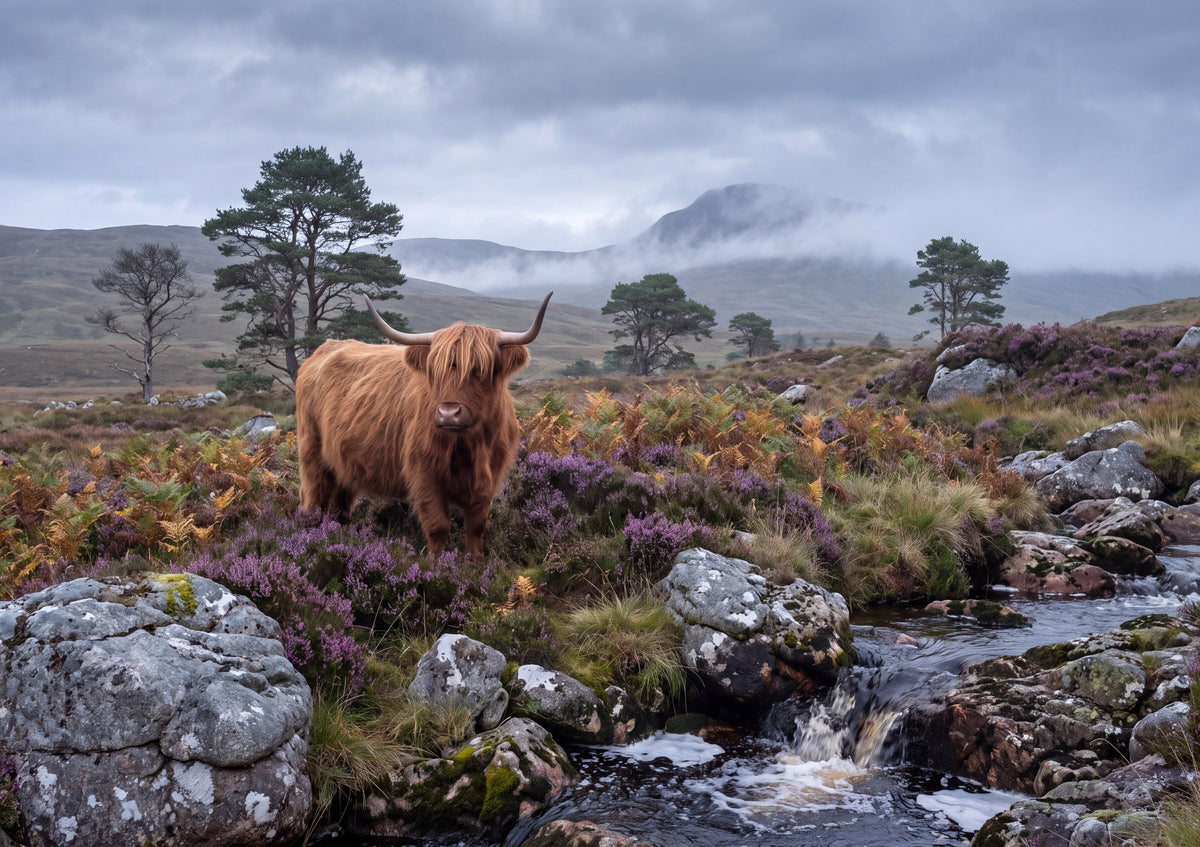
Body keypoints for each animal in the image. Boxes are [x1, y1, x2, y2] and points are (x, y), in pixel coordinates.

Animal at [295, 292, 552, 559]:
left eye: (479, 370)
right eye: (434, 371)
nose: (448, 414)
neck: (470, 445)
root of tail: (324, 348)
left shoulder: (488, 476)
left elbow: (477, 525)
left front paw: (476, 562)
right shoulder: (424, 473)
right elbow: (438, 525)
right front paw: (438, 564)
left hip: (344, 464)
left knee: (340, 506)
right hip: (311, 451)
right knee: (312, 499)